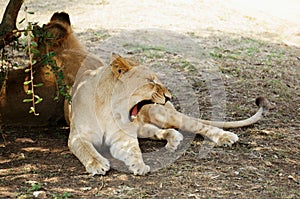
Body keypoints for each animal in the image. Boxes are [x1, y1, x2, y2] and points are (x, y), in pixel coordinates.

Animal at [69, 52, 270, 175]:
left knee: (199, 125)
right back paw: (173, 140)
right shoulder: (77, 136)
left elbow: (134, 150)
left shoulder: (123, 138)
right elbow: (86, 149)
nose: (169, 96)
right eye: (151, 81)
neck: (109, 109)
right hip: (145, 126)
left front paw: (139, 164)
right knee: (159, 131)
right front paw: (97, 164)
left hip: (163, 114)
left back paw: (225, 137)